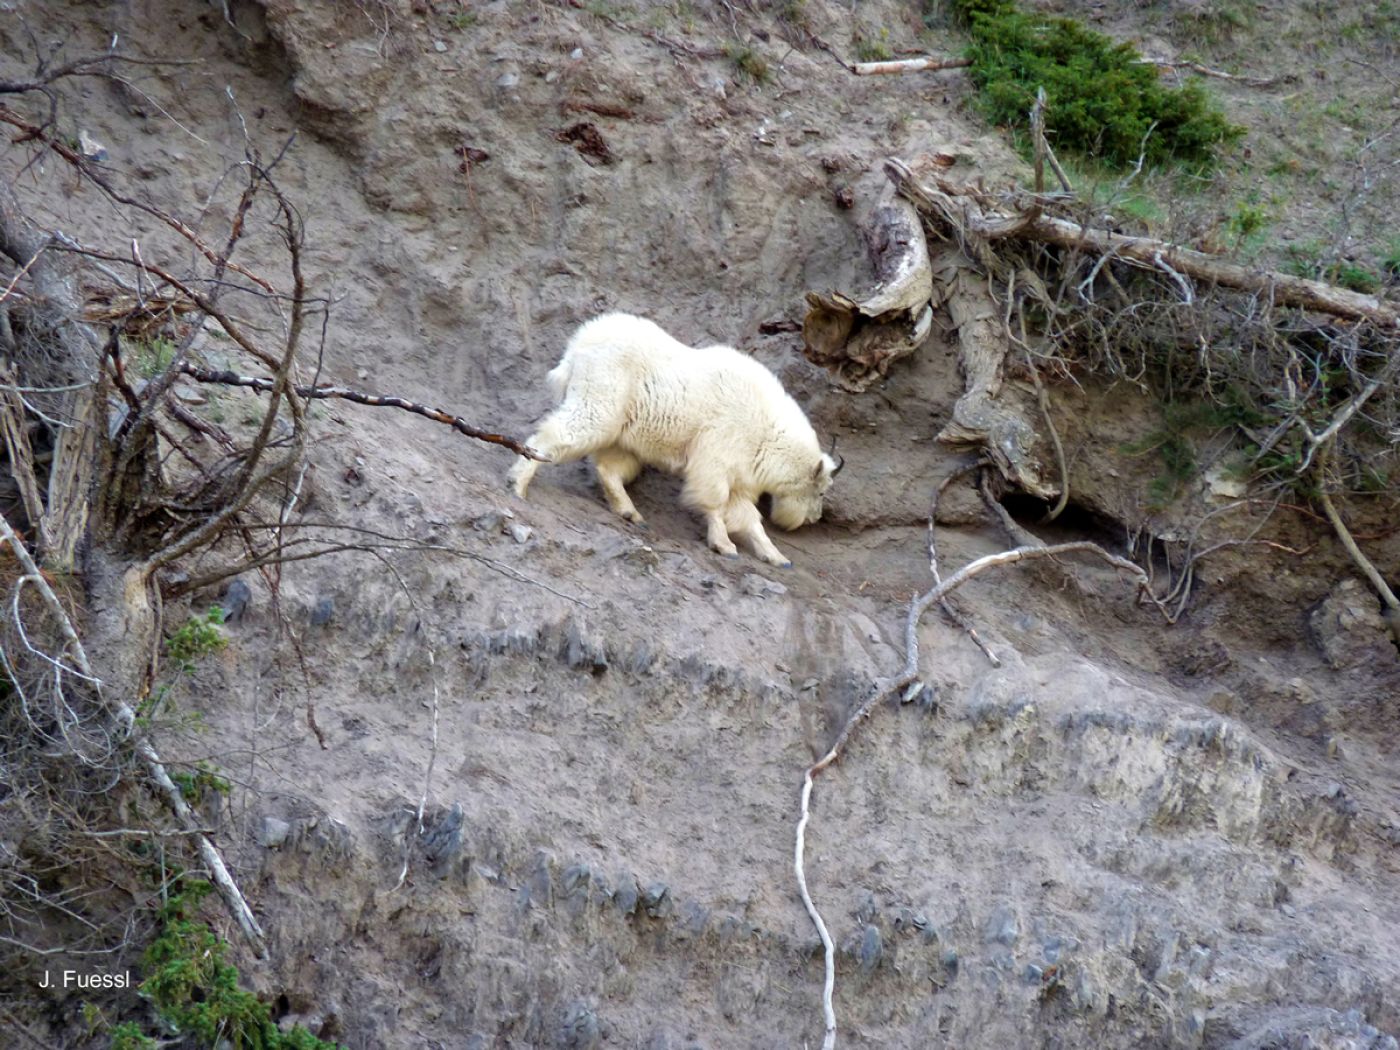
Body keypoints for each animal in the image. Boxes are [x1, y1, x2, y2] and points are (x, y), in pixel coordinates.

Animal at [512, 315, 845, 568]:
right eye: (820, 491)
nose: (813, 519)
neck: (768, 432)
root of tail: (576, 349)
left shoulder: (740, 478)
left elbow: (749, 518)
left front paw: (776, 556)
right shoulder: (716, 459)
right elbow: (715, 503)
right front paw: (724, 545)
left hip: (623, 433)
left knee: (609, 468)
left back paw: (630, 513)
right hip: (597, 407)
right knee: (552, 436)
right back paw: (518, 484)